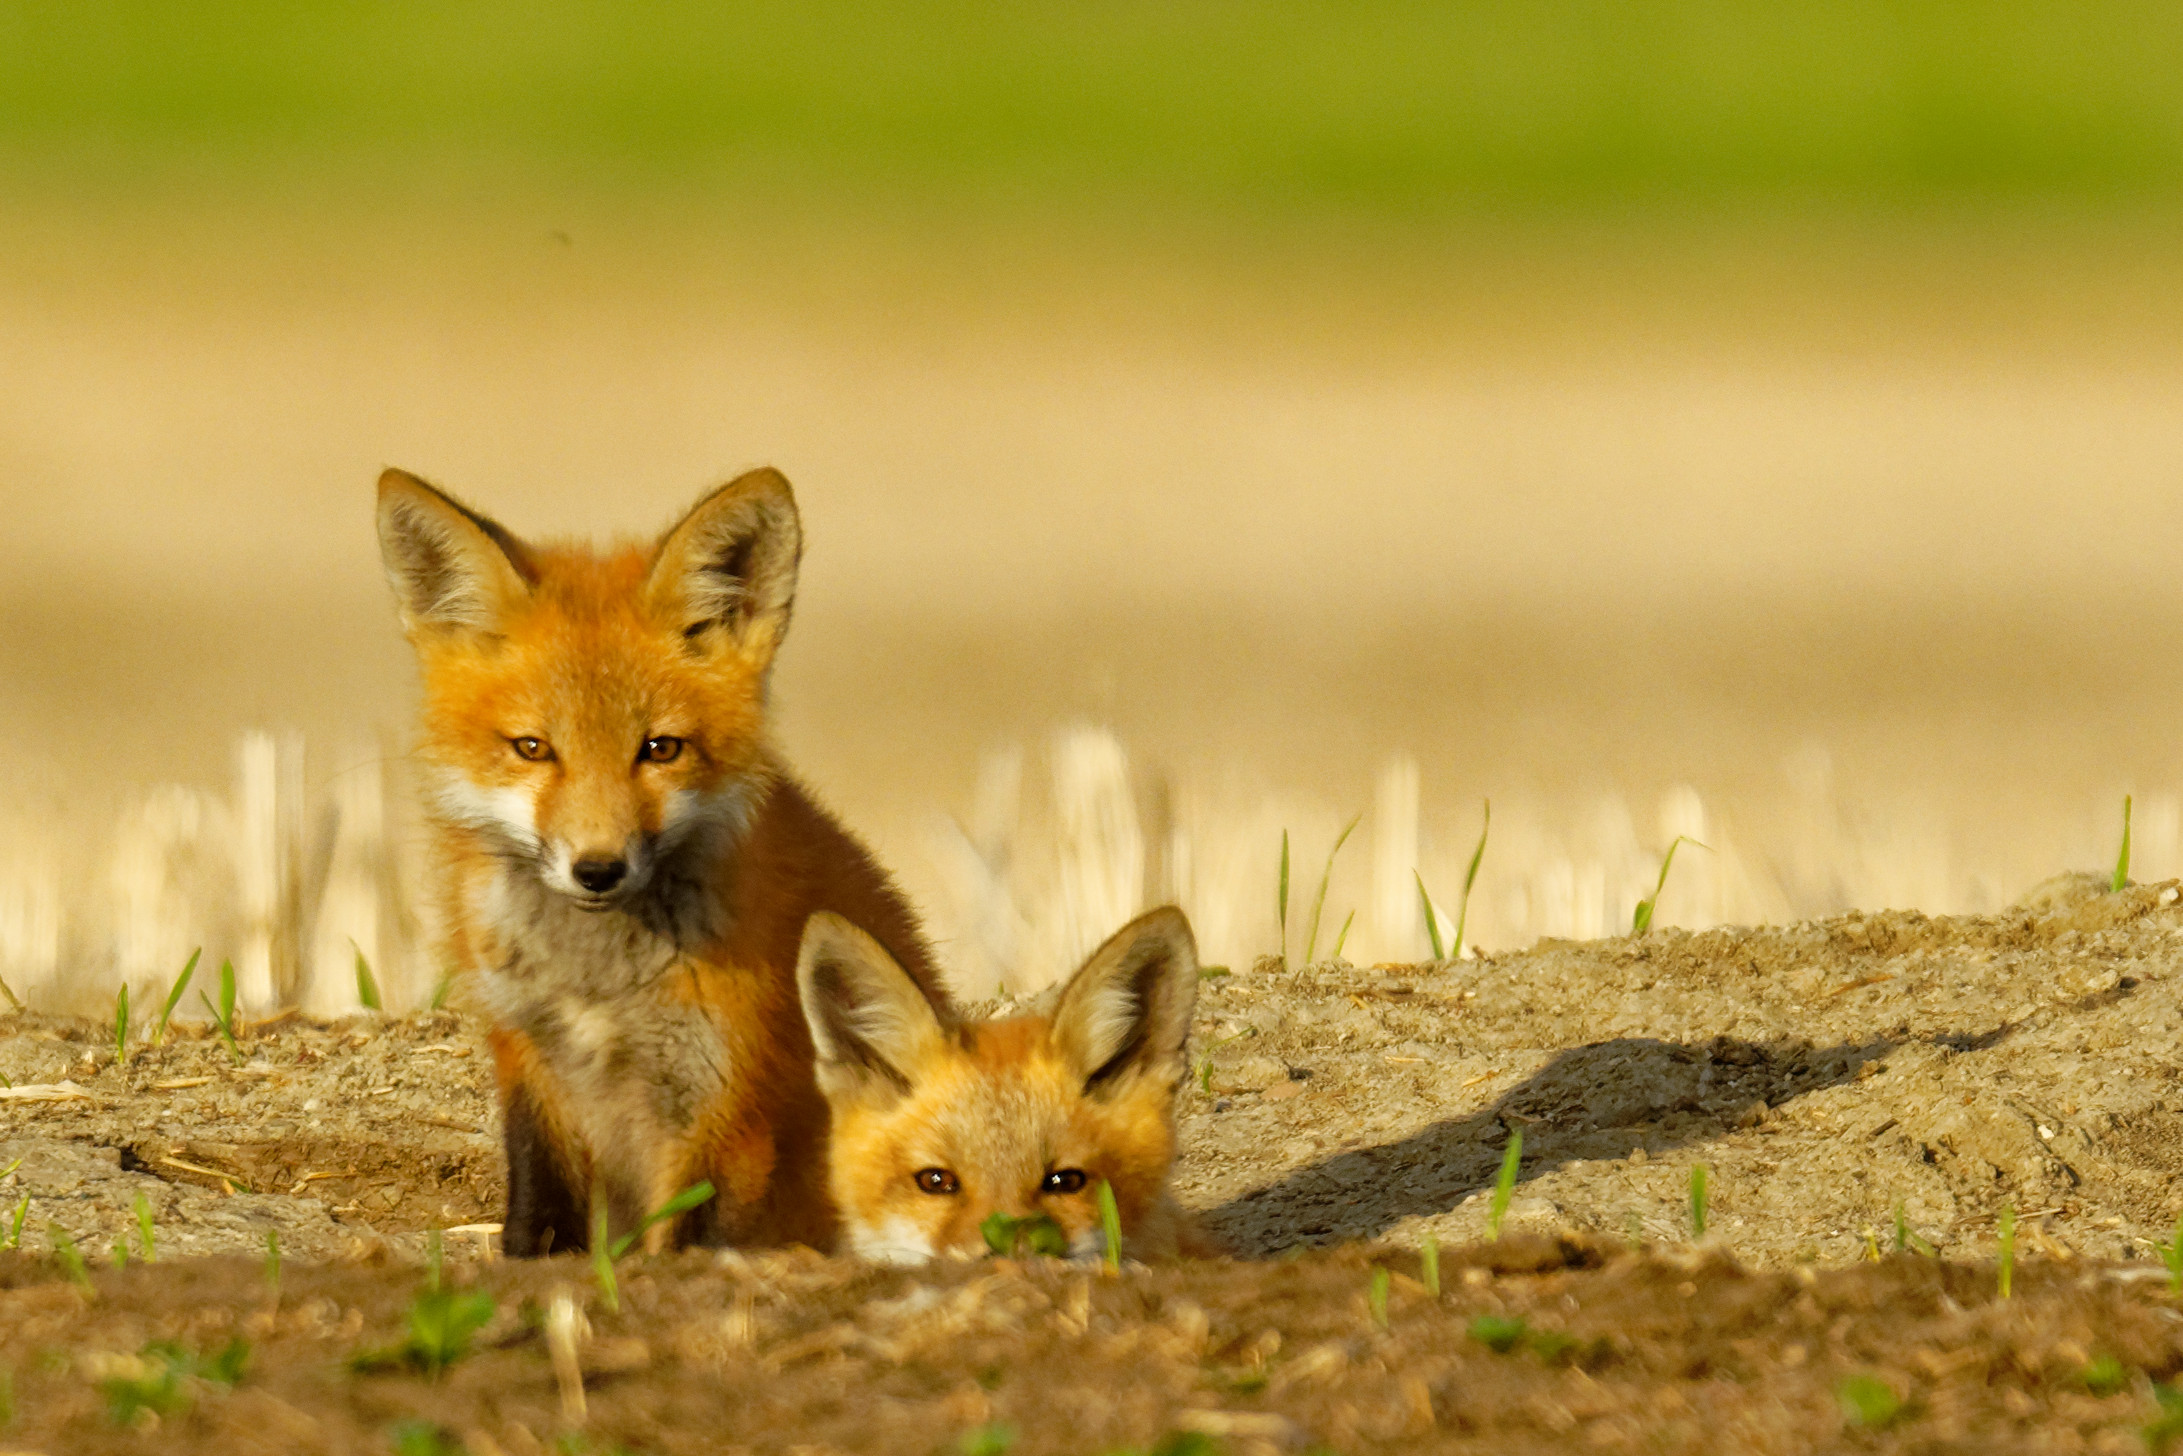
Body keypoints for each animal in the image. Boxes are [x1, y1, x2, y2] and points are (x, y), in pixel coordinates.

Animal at [375, 465, 946, 1257]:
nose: (598, 869)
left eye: (659, 749)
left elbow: (688, 1240)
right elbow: (539, 1213)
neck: (599, 990)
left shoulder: (726, 1104)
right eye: (532, 748)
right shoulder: (530, 1061)